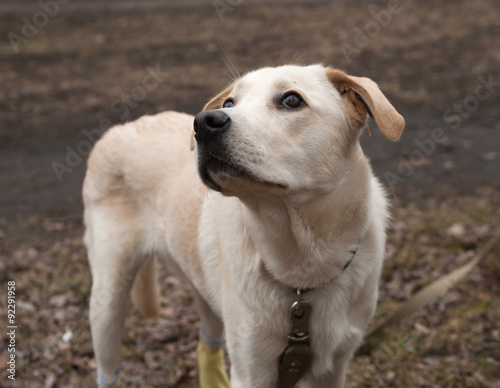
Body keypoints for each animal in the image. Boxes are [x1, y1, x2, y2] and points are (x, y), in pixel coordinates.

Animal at [84, 65, 404, 386]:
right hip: (107, 301)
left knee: (206, 344)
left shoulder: (333, 367)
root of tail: (121, 127)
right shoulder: (252, 369)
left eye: (291, 100)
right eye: (229, 103)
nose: (203, 123)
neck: (305, 270)